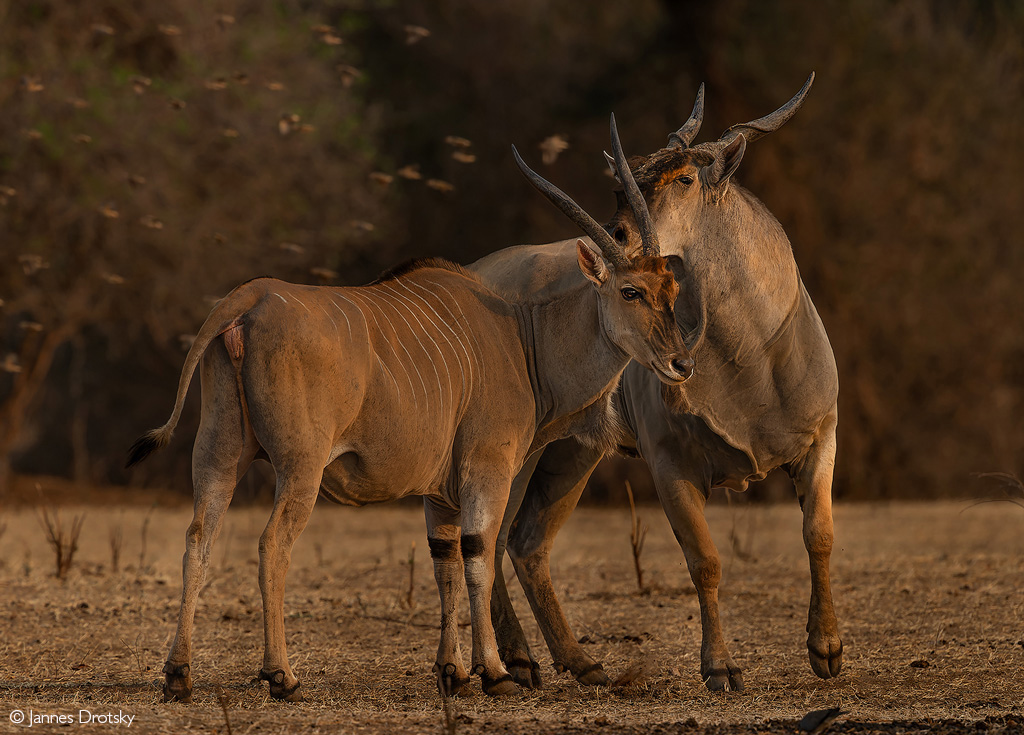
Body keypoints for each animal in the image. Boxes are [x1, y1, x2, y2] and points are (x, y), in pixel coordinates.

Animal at [123, 120, 692, 704]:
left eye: (671, 287)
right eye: (630, 291)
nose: (681, 362)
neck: (521, 337)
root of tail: (248, 300)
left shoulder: (439, 496)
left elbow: (445, 562)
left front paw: (452, 672)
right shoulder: (486, 470)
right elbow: (478, 554)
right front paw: (495, 673)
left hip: (219, 454)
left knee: (198, 538)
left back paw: (179, 674)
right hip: (299, 468)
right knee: (271, 545)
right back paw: (282, 674)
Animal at [471, 76, 839, 696]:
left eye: (685, 177)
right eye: (624, 183)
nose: (617, 241)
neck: (756, 357)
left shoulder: (819, 443)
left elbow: (819, 535)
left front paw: (827, 650)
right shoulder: (670, 465)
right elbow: (705, 560)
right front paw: (720, 668)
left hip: (572, 452)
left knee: (526, 541)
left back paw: (579, 663)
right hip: (516, 449)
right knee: (492, 534)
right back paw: (515, 663)